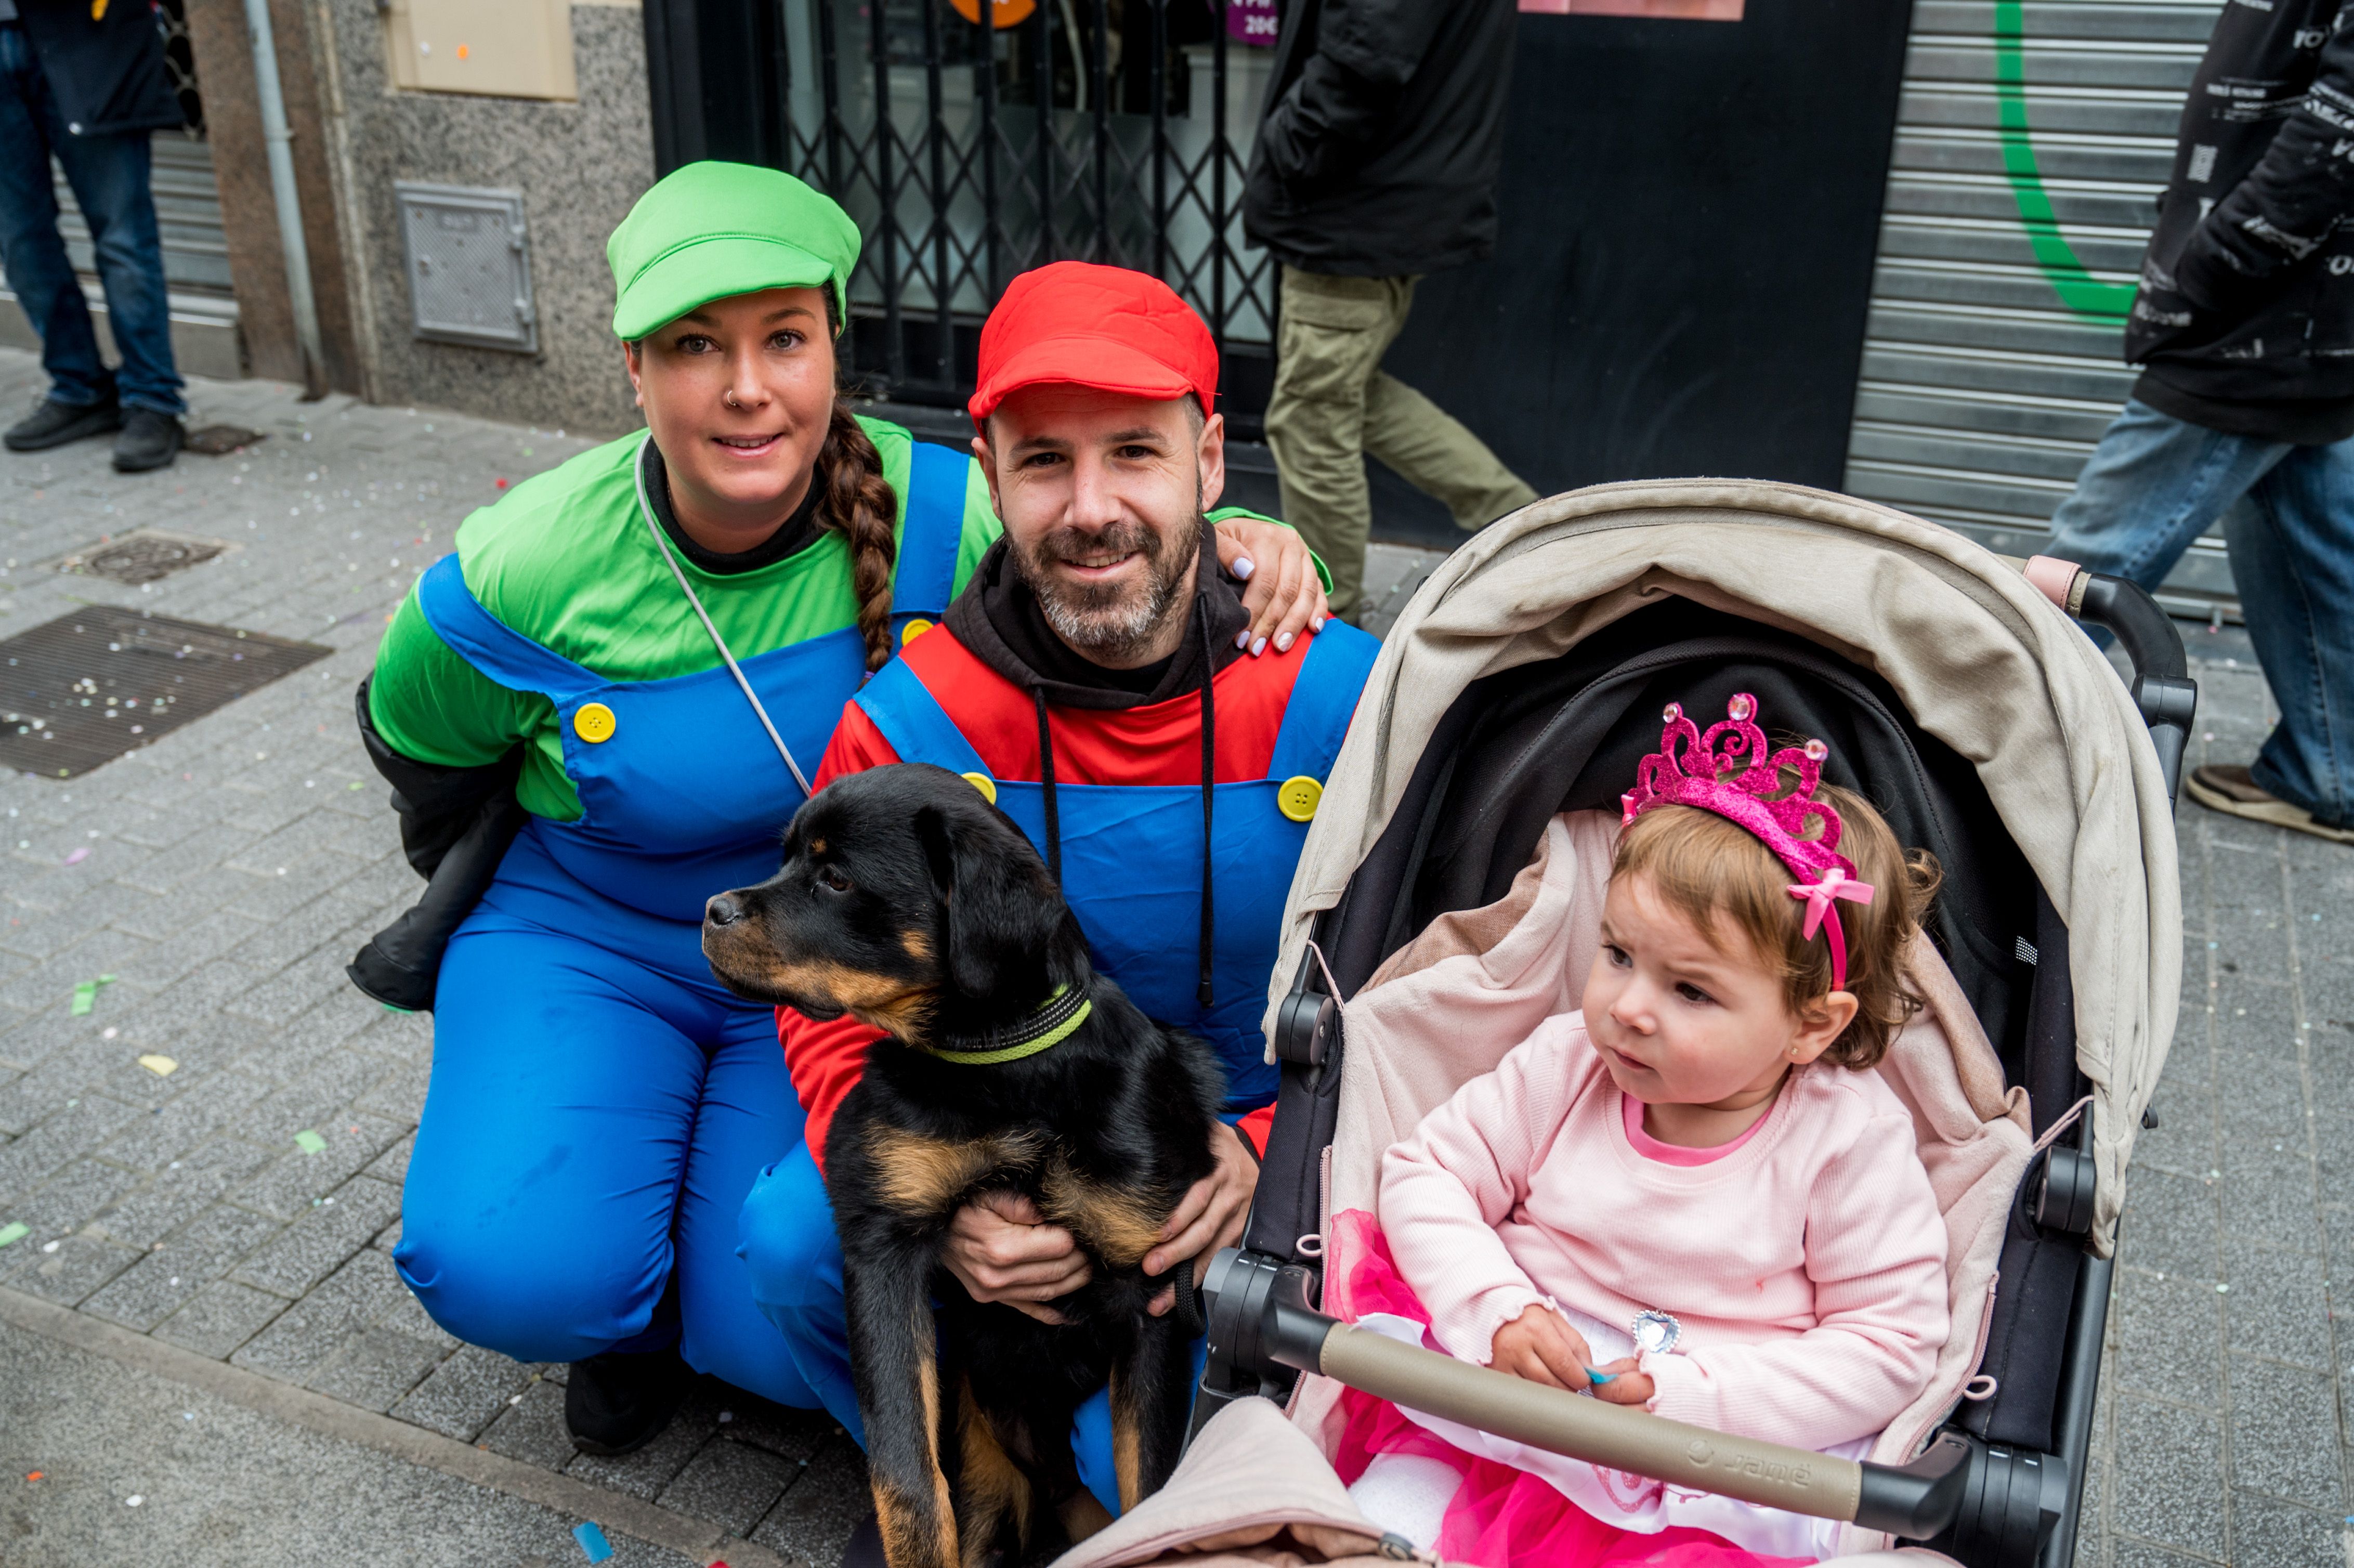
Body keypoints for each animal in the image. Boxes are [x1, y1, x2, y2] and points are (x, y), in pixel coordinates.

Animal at [697, 767, 1224, 1563]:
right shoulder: (882, 1247)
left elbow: (1153, 1487)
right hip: (987, 1448)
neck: (997, 1064)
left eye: (836, 878)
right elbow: (908, 1476)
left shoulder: (1154, 1287)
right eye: (786, 858)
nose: (711, 910)